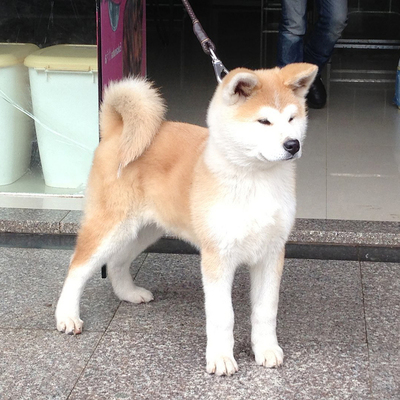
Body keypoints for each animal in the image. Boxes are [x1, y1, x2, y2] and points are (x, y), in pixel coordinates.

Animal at [57, 62, 318, 376]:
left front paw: (266, 349)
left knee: (117, 261)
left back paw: (129, 293)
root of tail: (115, 131)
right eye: (264, 122)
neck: (256, 180)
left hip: (143, 230)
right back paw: (66, 316)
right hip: (111, 226)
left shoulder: (271, 253)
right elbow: (223, 316)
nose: (292, 144)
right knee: (77, 268)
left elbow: (266, 311)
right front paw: (221, 358)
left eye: (292, 118)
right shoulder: (217, 256)